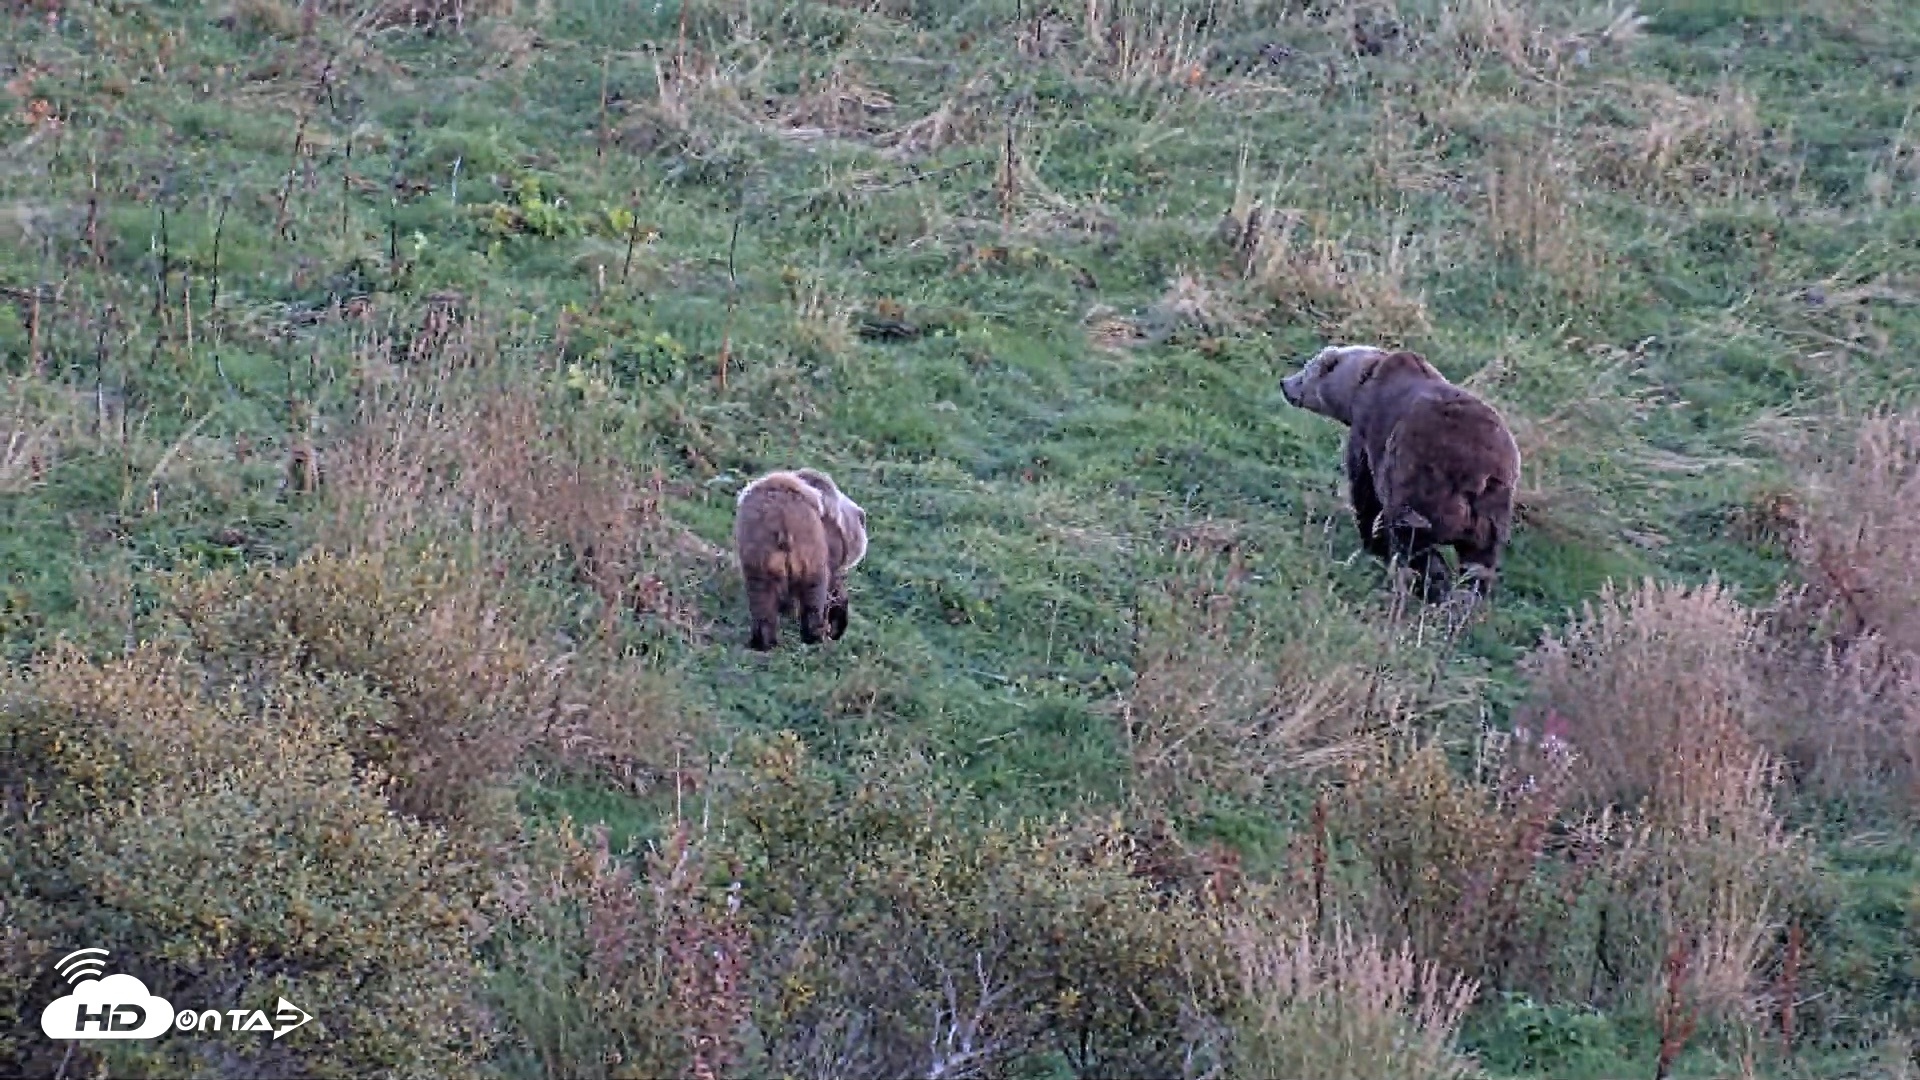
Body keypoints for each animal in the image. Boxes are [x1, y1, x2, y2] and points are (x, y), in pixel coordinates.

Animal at [733, 467, 869, 650]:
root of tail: (781, 519)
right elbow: (833, 587)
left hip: (758, 554)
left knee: (761, 596)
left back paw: (763, 641)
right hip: (809, 552)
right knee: (813, 591)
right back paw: (814, 635)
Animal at [1279, 344, 1520, 603]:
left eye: (1306, 370)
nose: (1284, 383)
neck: (1360, 384)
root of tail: (1479, 475)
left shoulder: (1367, 432)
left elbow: (1364, 492)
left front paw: (1372, 542)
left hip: (1424, 485)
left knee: (1413, 539)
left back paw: (1426, 587)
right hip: (1491, 514)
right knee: (1477, 563)